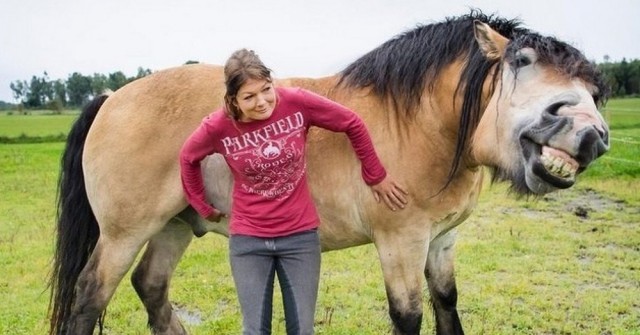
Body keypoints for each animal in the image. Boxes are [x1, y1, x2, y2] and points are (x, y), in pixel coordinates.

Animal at [47, 11, 608, 335]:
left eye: (592, 85)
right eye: (522, 60)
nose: (590, 133)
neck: (418, 121)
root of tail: (111, 96)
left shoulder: (441, 241)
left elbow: (446, 304)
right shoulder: (401, 242)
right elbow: (409, 315)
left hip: (176, 223)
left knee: (152, 287)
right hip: (125, 232)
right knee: (90, 296)